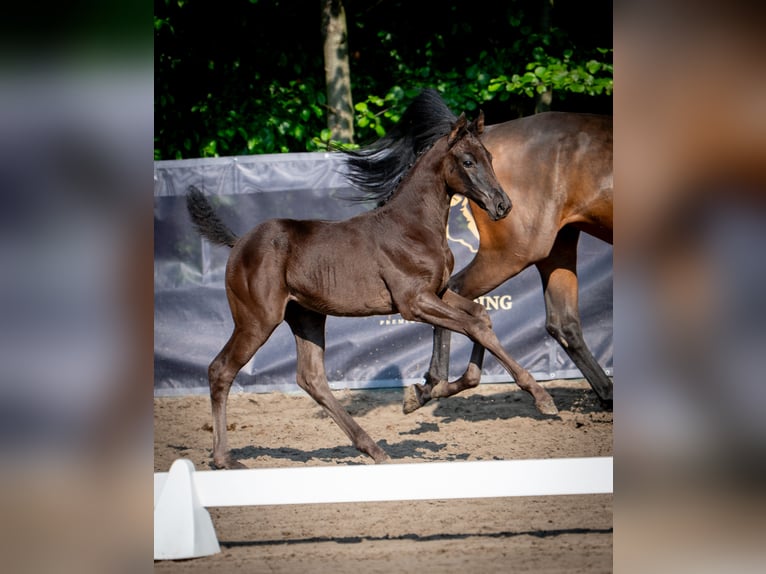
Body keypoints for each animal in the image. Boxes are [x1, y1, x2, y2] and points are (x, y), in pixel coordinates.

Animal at [186, 91, 558, 469]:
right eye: (468, 161)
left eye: (490, 158)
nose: (503, 206)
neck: (413, 227)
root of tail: (238, 243)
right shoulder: (413, 302)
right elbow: (475, 326)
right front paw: (541, 397)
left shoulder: (438, 292)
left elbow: (480, 317)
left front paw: (428, 391)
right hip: (257, 320)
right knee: (220, 369)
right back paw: (224, 458)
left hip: (306, 316)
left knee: (311, 378)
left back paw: (374, 448)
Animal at [346, 99, 614, 413]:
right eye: (468, 162)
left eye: (489, 159)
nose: (503, 205)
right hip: (515, 252)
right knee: (467, 297)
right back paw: (436, 385)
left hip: (557, 246)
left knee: (560, 323)